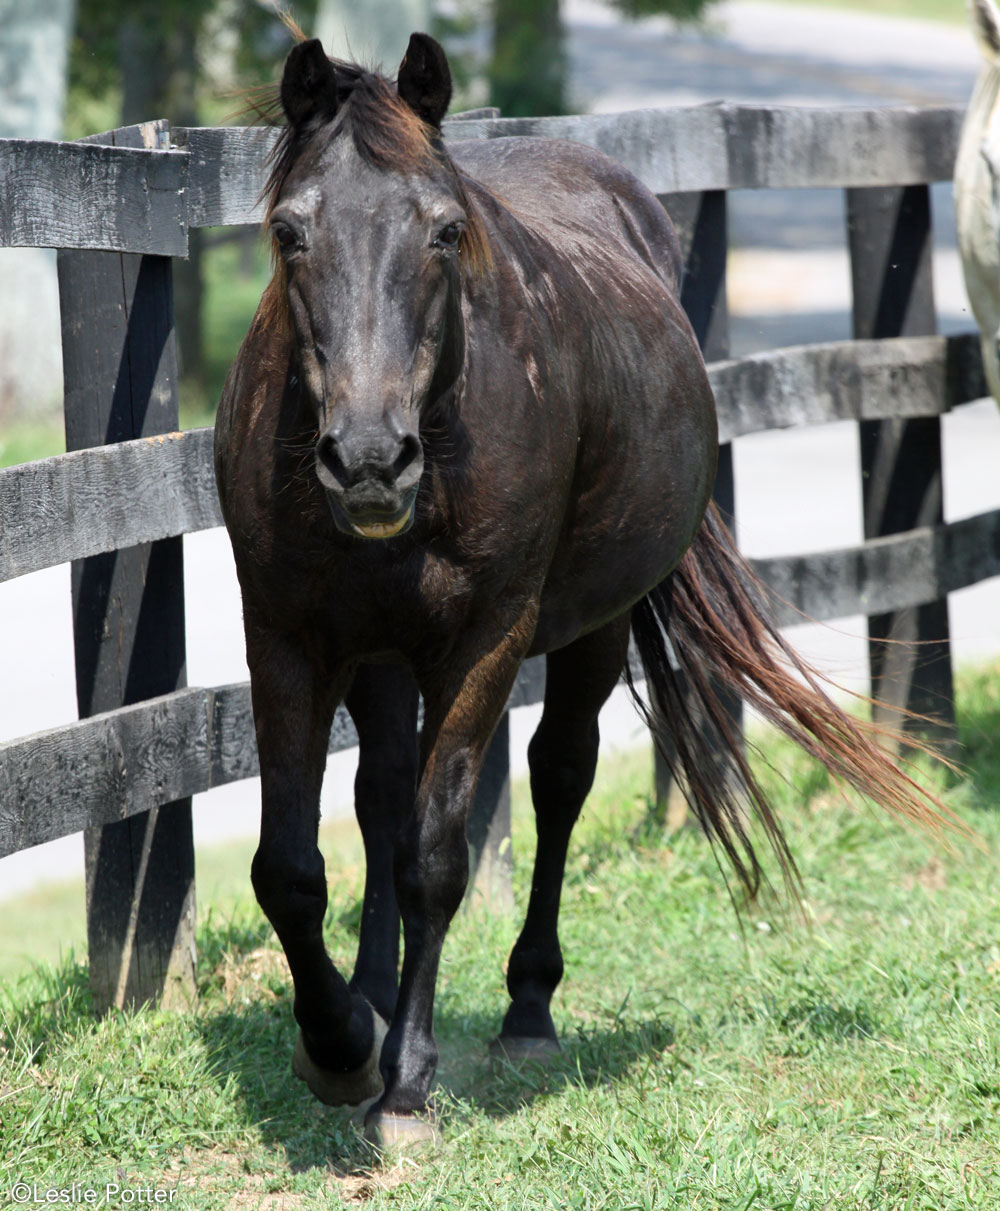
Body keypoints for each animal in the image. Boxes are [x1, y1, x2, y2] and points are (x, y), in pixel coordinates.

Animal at [216, 30, 949, 1143]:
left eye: (444, 230)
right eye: (290, 232)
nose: (370, 461)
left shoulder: (486, 639)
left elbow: (437, 854)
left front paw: (407, 1082)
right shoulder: (289, 636)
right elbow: (291, 869)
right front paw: (338, 1042)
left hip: (592, 626)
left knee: (558, 776)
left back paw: (525, 1007)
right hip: (381, 650)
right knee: (381, 796)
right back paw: (374, 998)